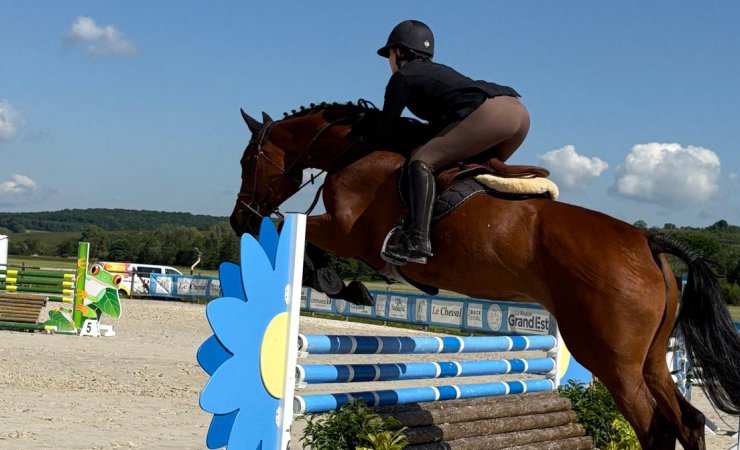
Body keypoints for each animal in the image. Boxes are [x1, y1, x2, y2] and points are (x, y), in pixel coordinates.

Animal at [229, 101, 740, 449]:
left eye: (247, 161)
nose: (239, 221)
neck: (354, 151)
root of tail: (648, 242)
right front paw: (348, 287)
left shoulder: (346, 231)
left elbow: (302, 233)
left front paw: (340, 285)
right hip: (649, 358)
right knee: (688, 420)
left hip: (612, 360)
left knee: (655, 428)